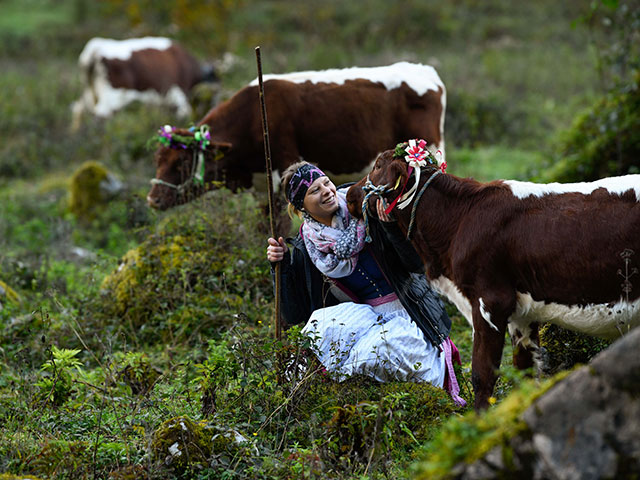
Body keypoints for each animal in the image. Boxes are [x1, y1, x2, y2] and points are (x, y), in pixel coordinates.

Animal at [69, 36, 216, 129]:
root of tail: (96, 48)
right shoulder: (179, 96)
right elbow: (183, 115)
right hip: (111, 97)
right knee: (99, 117)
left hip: (90, 92)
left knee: (78, 109)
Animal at [344, 145, 640, 408]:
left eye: (378, 166)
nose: (349, 195)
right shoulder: (522, 313)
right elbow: (524, 370)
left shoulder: (490, 300)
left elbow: (482, 374)